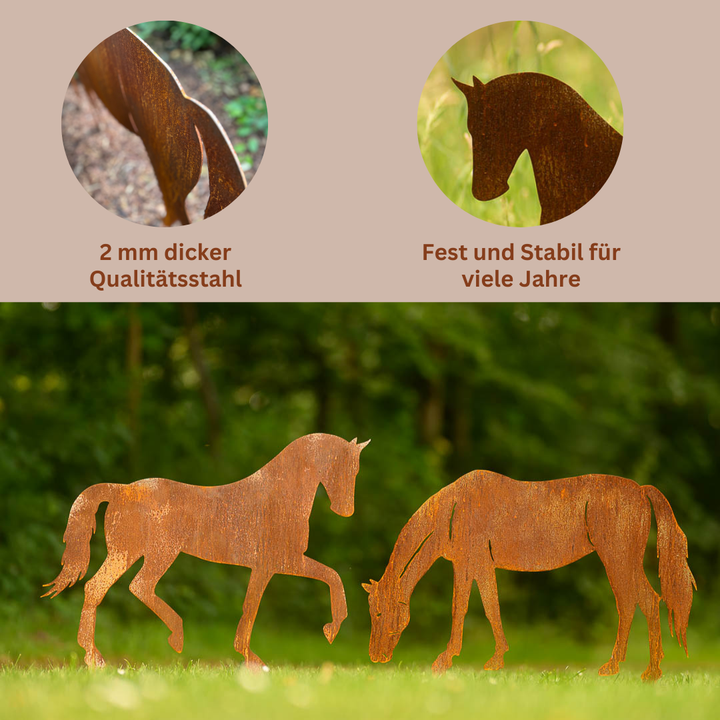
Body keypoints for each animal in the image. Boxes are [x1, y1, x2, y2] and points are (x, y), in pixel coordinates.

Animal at [44, 433, 370, 668]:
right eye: (345, 467)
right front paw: (330, 630)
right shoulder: (280, 563)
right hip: (158, 554)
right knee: (137, 586)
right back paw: (170, 639)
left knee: (96, 588)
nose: (346, 511)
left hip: (127, 554)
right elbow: (331, 577)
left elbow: (255, 604)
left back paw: (94, 657)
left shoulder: (269, 567)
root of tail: (122, 490)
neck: (277, 496)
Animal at [364, 471, 694, 681]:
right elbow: (489, 606)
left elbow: (463, 608)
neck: (454, 509)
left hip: (618, 560)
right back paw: (650, 671)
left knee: (631, 604)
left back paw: (618, 667)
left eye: (379, 613)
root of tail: (641, 489)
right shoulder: (480, 565)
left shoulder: (469, 564)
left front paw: (445, 660)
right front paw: (496, 659)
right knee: (648, 602)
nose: (375, 657)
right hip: (625, 562)